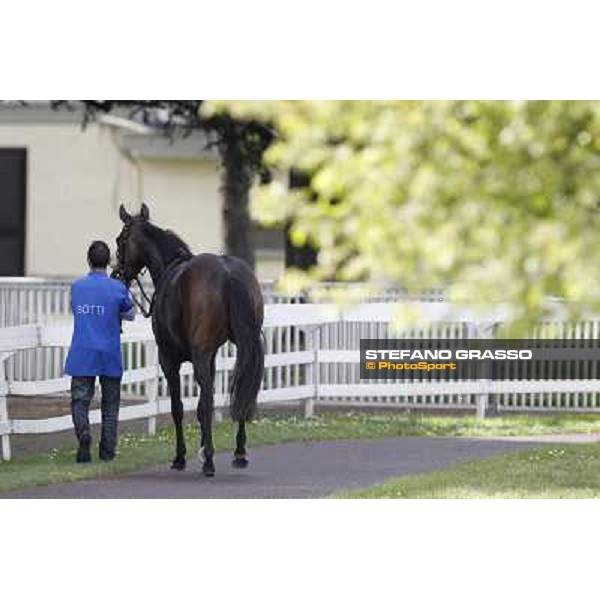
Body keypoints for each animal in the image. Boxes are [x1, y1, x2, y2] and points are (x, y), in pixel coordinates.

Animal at [113, 204, 264, 476]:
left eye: (120, 240)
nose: (116, 274)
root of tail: (228, 273)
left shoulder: (169, 359)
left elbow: (179, 408)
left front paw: (182, 457)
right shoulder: (210, 356)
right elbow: (205, 404)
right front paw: (202, 448)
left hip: (199, 355)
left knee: (207, 403)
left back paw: (210, 462)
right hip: (245, 348)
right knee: (243, 393)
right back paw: (239, 453)